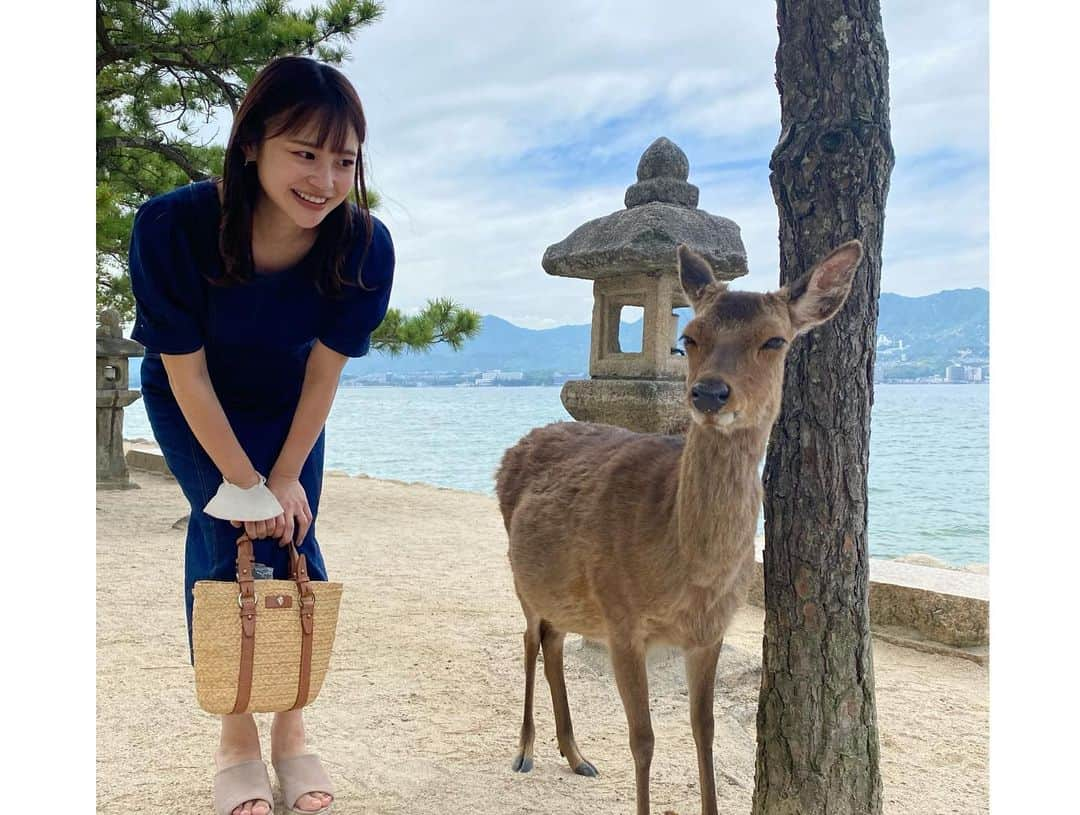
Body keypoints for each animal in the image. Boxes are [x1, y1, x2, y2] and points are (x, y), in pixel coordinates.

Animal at [494, 238, 859, 811]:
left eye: (774, 340)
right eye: (688, 337)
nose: (709, 393)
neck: (689, 573)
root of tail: (513, 449)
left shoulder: (710, 632)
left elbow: (702, 732)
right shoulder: (622, 620)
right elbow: (642, 739)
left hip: (561, 591)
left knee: (553, 642)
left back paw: (576, 756)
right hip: (522, 578)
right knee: (531, 639)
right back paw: (526, 751)